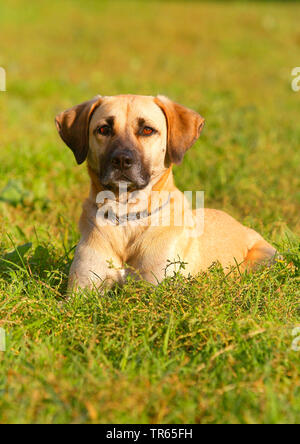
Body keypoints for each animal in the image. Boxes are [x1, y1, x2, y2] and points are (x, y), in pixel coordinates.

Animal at [54, 93, 276, 292]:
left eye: (147, 130)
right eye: (103, 129)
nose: (122, 160)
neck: (127, 215)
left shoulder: (156, 288)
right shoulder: (81, 291)